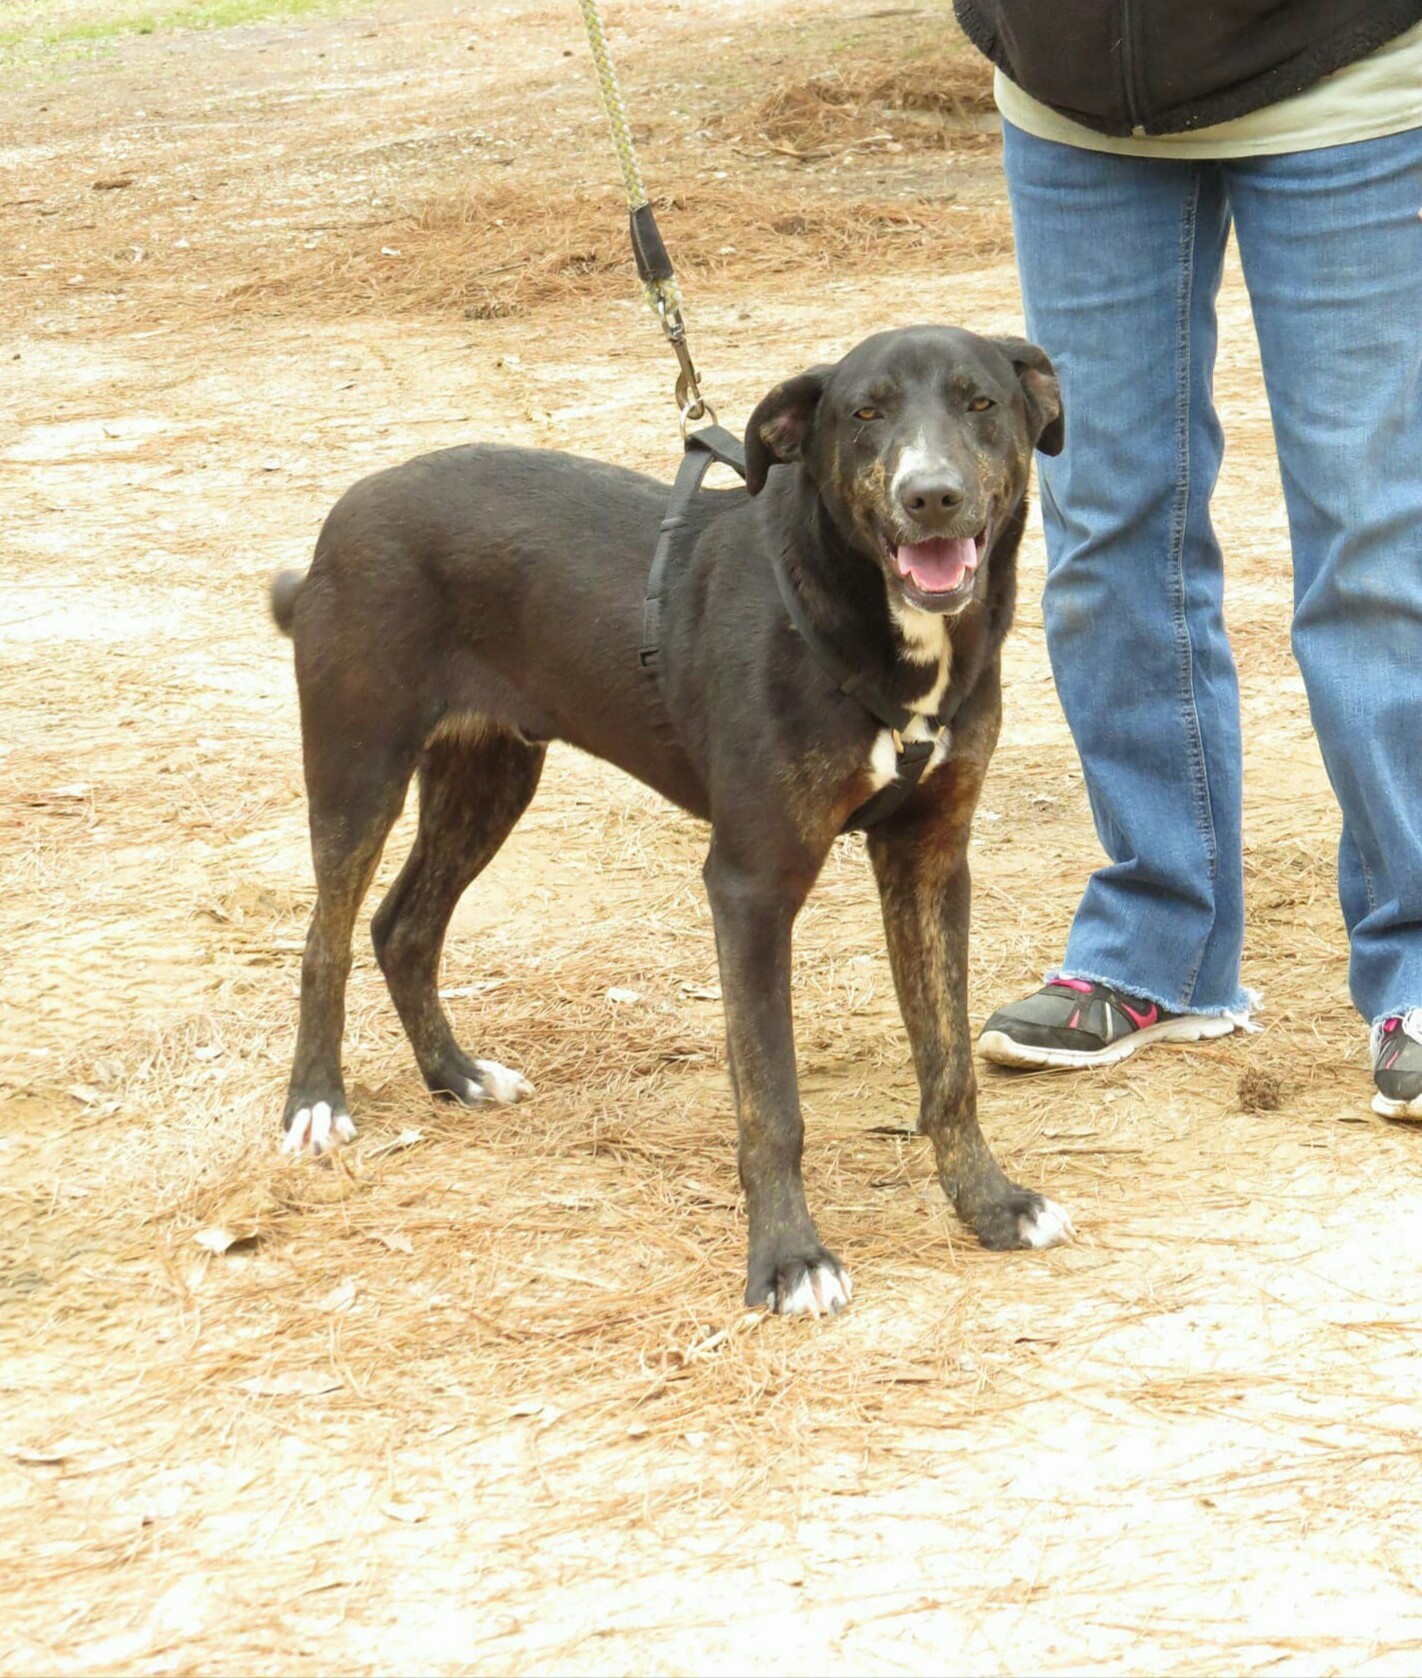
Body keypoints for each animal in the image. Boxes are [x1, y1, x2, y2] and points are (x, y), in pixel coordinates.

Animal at [270, 323, 1067, 1308]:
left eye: (980, 402)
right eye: (864, 413)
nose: (932, 496)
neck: (870, 626)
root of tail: (347, 513)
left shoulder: (930, 859)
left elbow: (949, 1065)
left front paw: (991, 1205)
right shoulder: (750, 886)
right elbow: (771, 1099)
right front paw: (788, 1259)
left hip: (489, 776)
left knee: (402, 927)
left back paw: (456, 1075)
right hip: (359, 767)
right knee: (327, 939)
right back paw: (316, 1102)